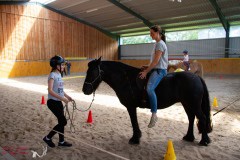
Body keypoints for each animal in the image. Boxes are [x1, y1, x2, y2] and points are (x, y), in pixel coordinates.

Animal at [82, 57, 212, 146]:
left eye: (92, 72)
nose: (85, 90)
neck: (126, 79)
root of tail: (196, 77)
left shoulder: (131, 106)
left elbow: (134, 121)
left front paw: (135, 138)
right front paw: (137, 137)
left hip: (193, 104)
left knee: (202, 118)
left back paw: (204, 141)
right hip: (187, 104)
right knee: (191, 118)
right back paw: (189, 137)